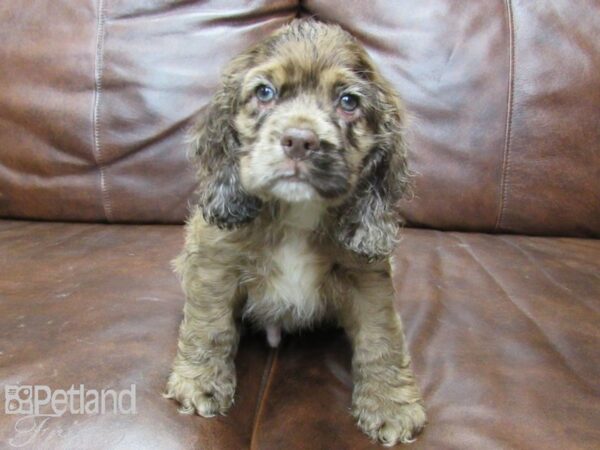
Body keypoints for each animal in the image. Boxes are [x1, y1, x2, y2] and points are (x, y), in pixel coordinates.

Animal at [165, 20, 426, 446]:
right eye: (264, 93)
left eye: (349, 101)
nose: (300, 141)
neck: (296, 213)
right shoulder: (214, 262)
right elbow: (210, 325)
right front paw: (200, 381)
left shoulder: (367, 278)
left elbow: (381, 338)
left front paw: (391, 405)